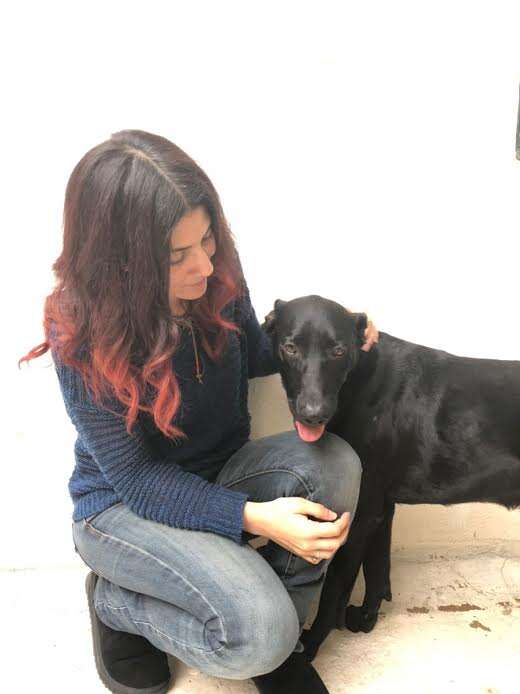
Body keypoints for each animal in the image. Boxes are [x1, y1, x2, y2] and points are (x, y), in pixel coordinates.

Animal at [264, 294, 520, 664]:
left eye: (338, 350)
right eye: (290, 348)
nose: (313, 414)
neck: (357, 380)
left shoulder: (361, 514)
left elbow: (335, 589)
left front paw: (312, 645)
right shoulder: (382, 507)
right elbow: (377, 569)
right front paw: (367, 618)